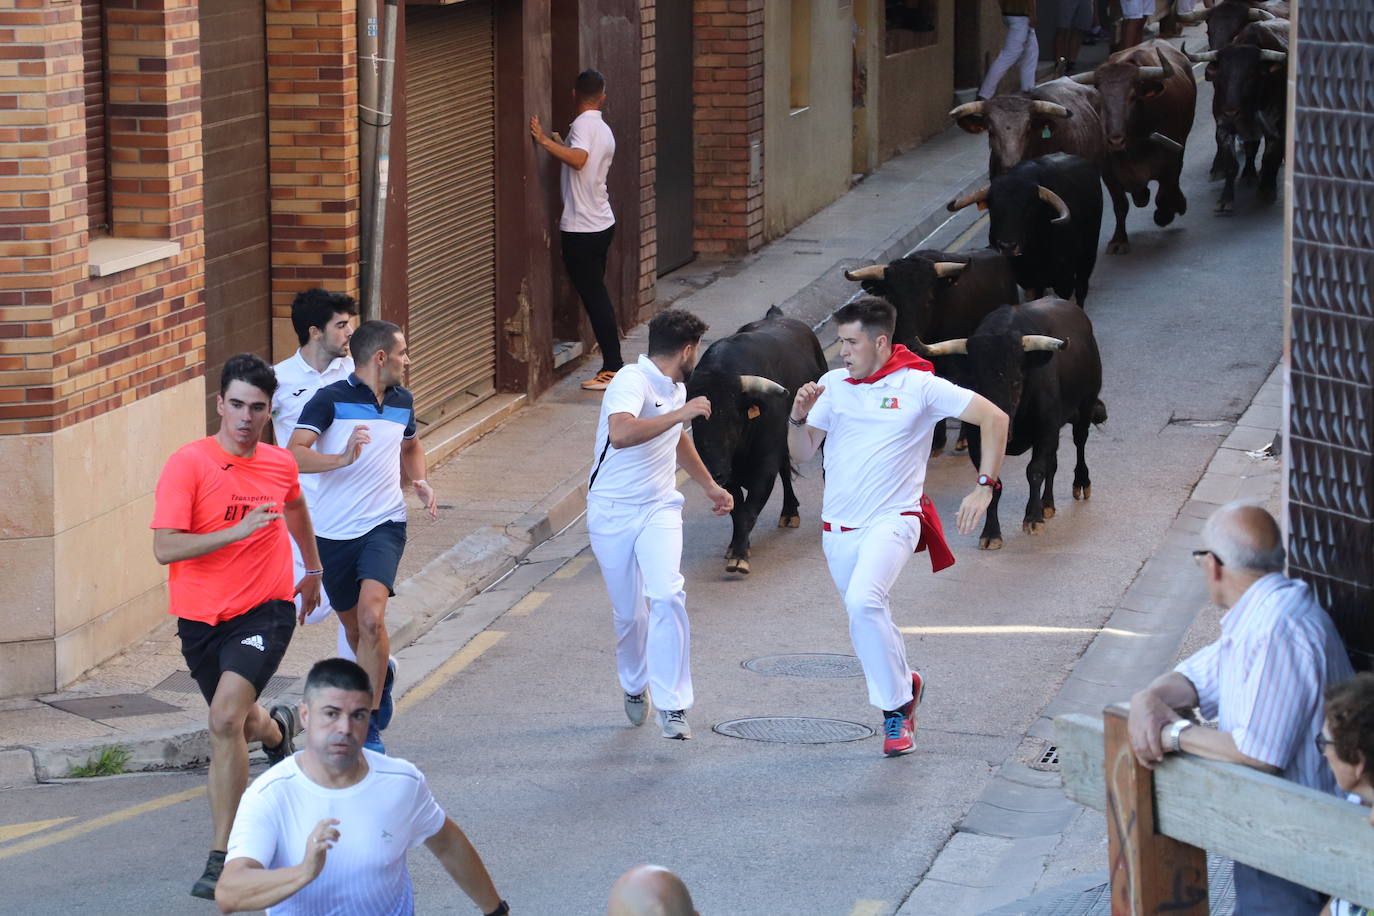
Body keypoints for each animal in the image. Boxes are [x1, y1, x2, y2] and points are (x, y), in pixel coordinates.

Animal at [687, 307, 824, 574]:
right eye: (695, 421)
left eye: (731, 418)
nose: (714, 472)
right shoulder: (729, 476)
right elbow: (738, 511)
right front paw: (736, 547)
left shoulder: (764, 466)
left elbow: (749, 510)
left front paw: (739, 557)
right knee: (785, 469)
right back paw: (789, 511)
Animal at [912, 298, 1104, 549]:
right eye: (975, 383)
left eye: (1017, 381)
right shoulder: (978, 440)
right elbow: (994, 483)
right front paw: (991, 532)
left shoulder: (1044, 429)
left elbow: (1035, 471)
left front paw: (1033, 519)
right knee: (1053, 461)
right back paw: (1047, 504)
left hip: (1086, 405)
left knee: (1079, 441)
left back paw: (1079, 483)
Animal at [1066, 38, 1198, 254]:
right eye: (1101, 98)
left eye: (1133, 97)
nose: (1115, 140)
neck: (1134, 147)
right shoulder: (1108, 173)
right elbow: (1120, 205)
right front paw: (1119, 240)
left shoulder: (1170, 160)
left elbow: (1164, 192)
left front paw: (1165, 214)